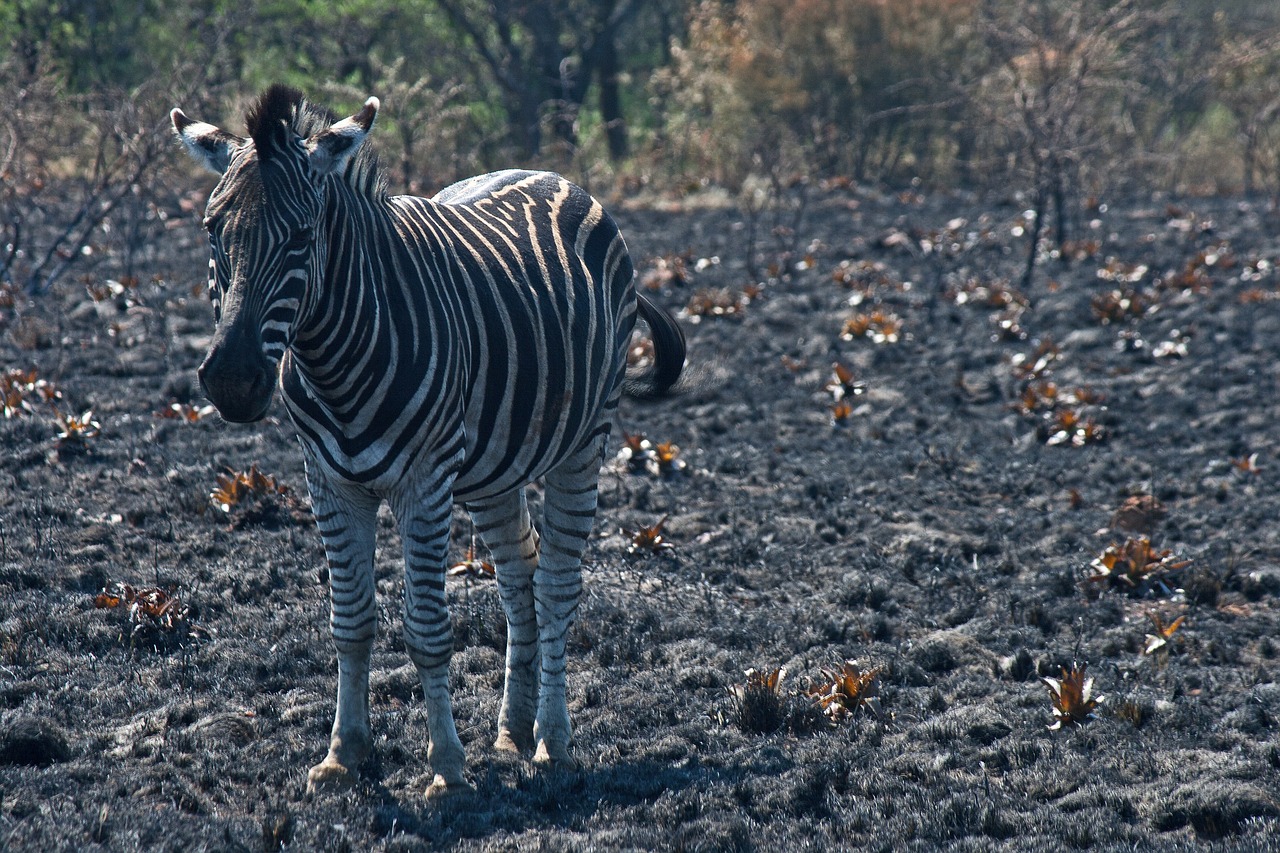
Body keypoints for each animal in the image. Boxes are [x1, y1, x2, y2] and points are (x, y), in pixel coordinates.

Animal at [175, 86, 686, 799]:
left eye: (303, 236)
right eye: (211, 230)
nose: (232, 379)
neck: (335, 361)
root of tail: (549, 173)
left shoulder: (425, 481)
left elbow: (426, 630)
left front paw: (446, 767)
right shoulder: (328, 482)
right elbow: (350, 620)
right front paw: (343, 754)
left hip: (586, 440)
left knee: (556, 584)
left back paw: (553, 745)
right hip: (494, 467)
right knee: (518, 573)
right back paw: (512, 733)